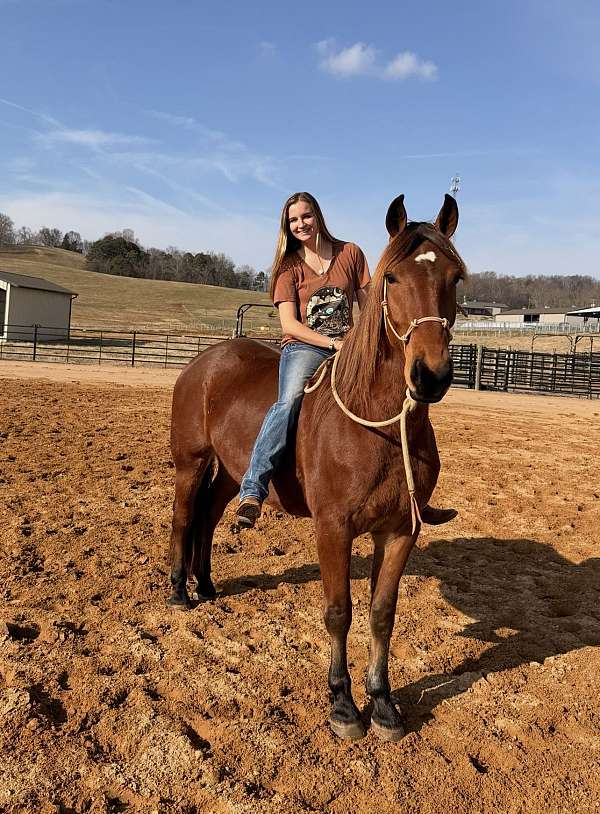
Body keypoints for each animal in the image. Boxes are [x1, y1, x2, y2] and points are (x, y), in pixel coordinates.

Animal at [168, 193, 466, 741]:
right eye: (393, 278)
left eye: (455, 277)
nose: (429, 374)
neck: (377, 425)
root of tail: (204, 360)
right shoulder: (334, 527)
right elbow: (338, 611)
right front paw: (343, 705)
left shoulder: (400, 531)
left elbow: (381, 613)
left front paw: (383, 704)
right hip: (191, 463)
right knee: (183, 518)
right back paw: (179, 591)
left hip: (230, 473)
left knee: (209, 518)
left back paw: (206, 585)